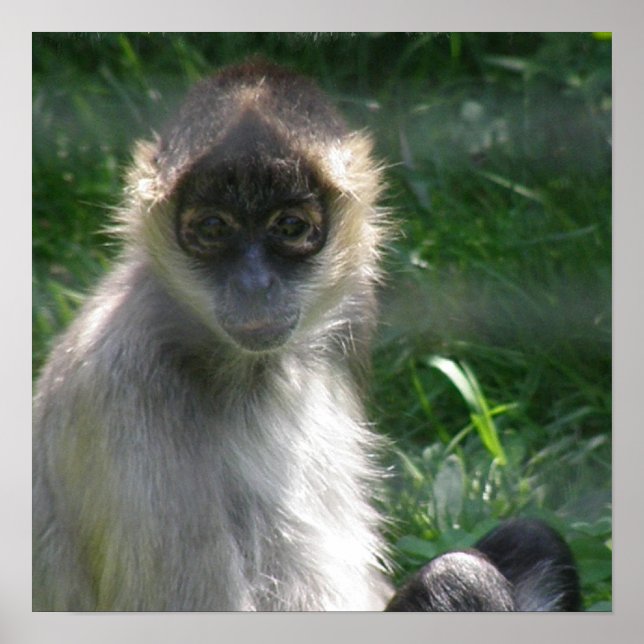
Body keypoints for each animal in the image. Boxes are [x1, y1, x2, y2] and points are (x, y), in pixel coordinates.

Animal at [33, 59, 581, 612]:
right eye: (213, 228)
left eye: (290, 227)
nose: (254, 284)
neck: (255, 369)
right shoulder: (126, 378)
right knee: (459, 576)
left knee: (531, 538)